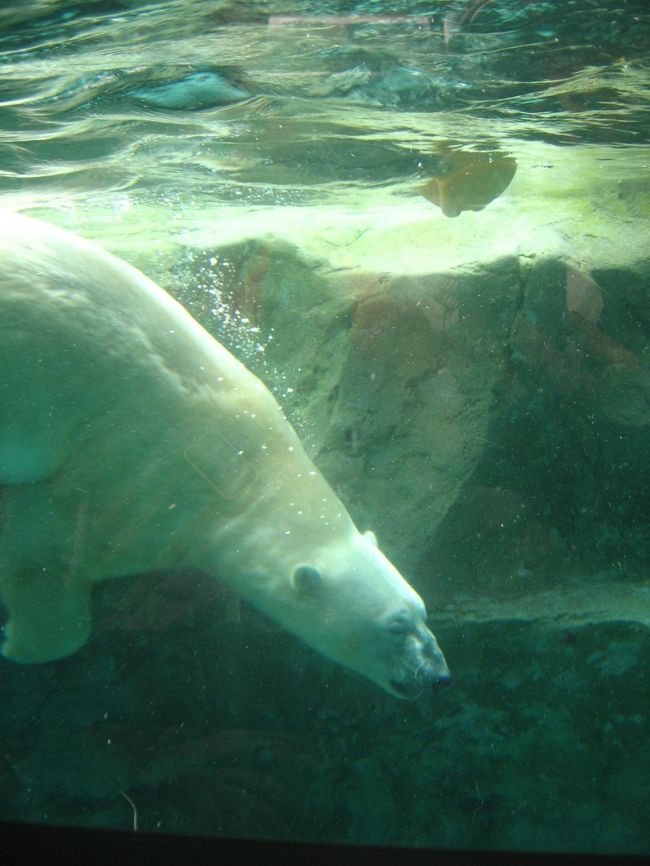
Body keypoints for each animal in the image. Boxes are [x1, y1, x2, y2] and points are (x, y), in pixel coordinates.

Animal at [0, 213, 448, 700]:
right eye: (394, 627)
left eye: (422, 611)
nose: (437, 675)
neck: (241, 470)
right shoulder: (130, 477)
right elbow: (41, 546)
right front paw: (15, 642)